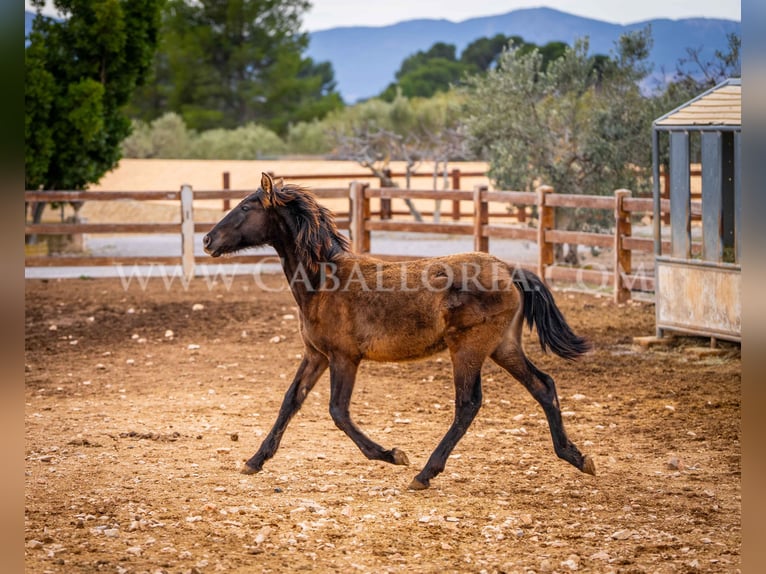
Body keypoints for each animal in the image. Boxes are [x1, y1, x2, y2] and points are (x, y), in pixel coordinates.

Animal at [201, 172, 596, 490]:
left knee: (468, 404)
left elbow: (338, 411)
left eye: (245, 207)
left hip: (469, 348)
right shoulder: (316, 355)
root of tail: (511, 270)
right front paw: (254, 460)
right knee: (543, 386)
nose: (206, 240)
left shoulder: (345, 357)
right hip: (504, 346)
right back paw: (577, 457)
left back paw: (424, 474)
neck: (323, 282)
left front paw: (392, 454)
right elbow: (290, 401)